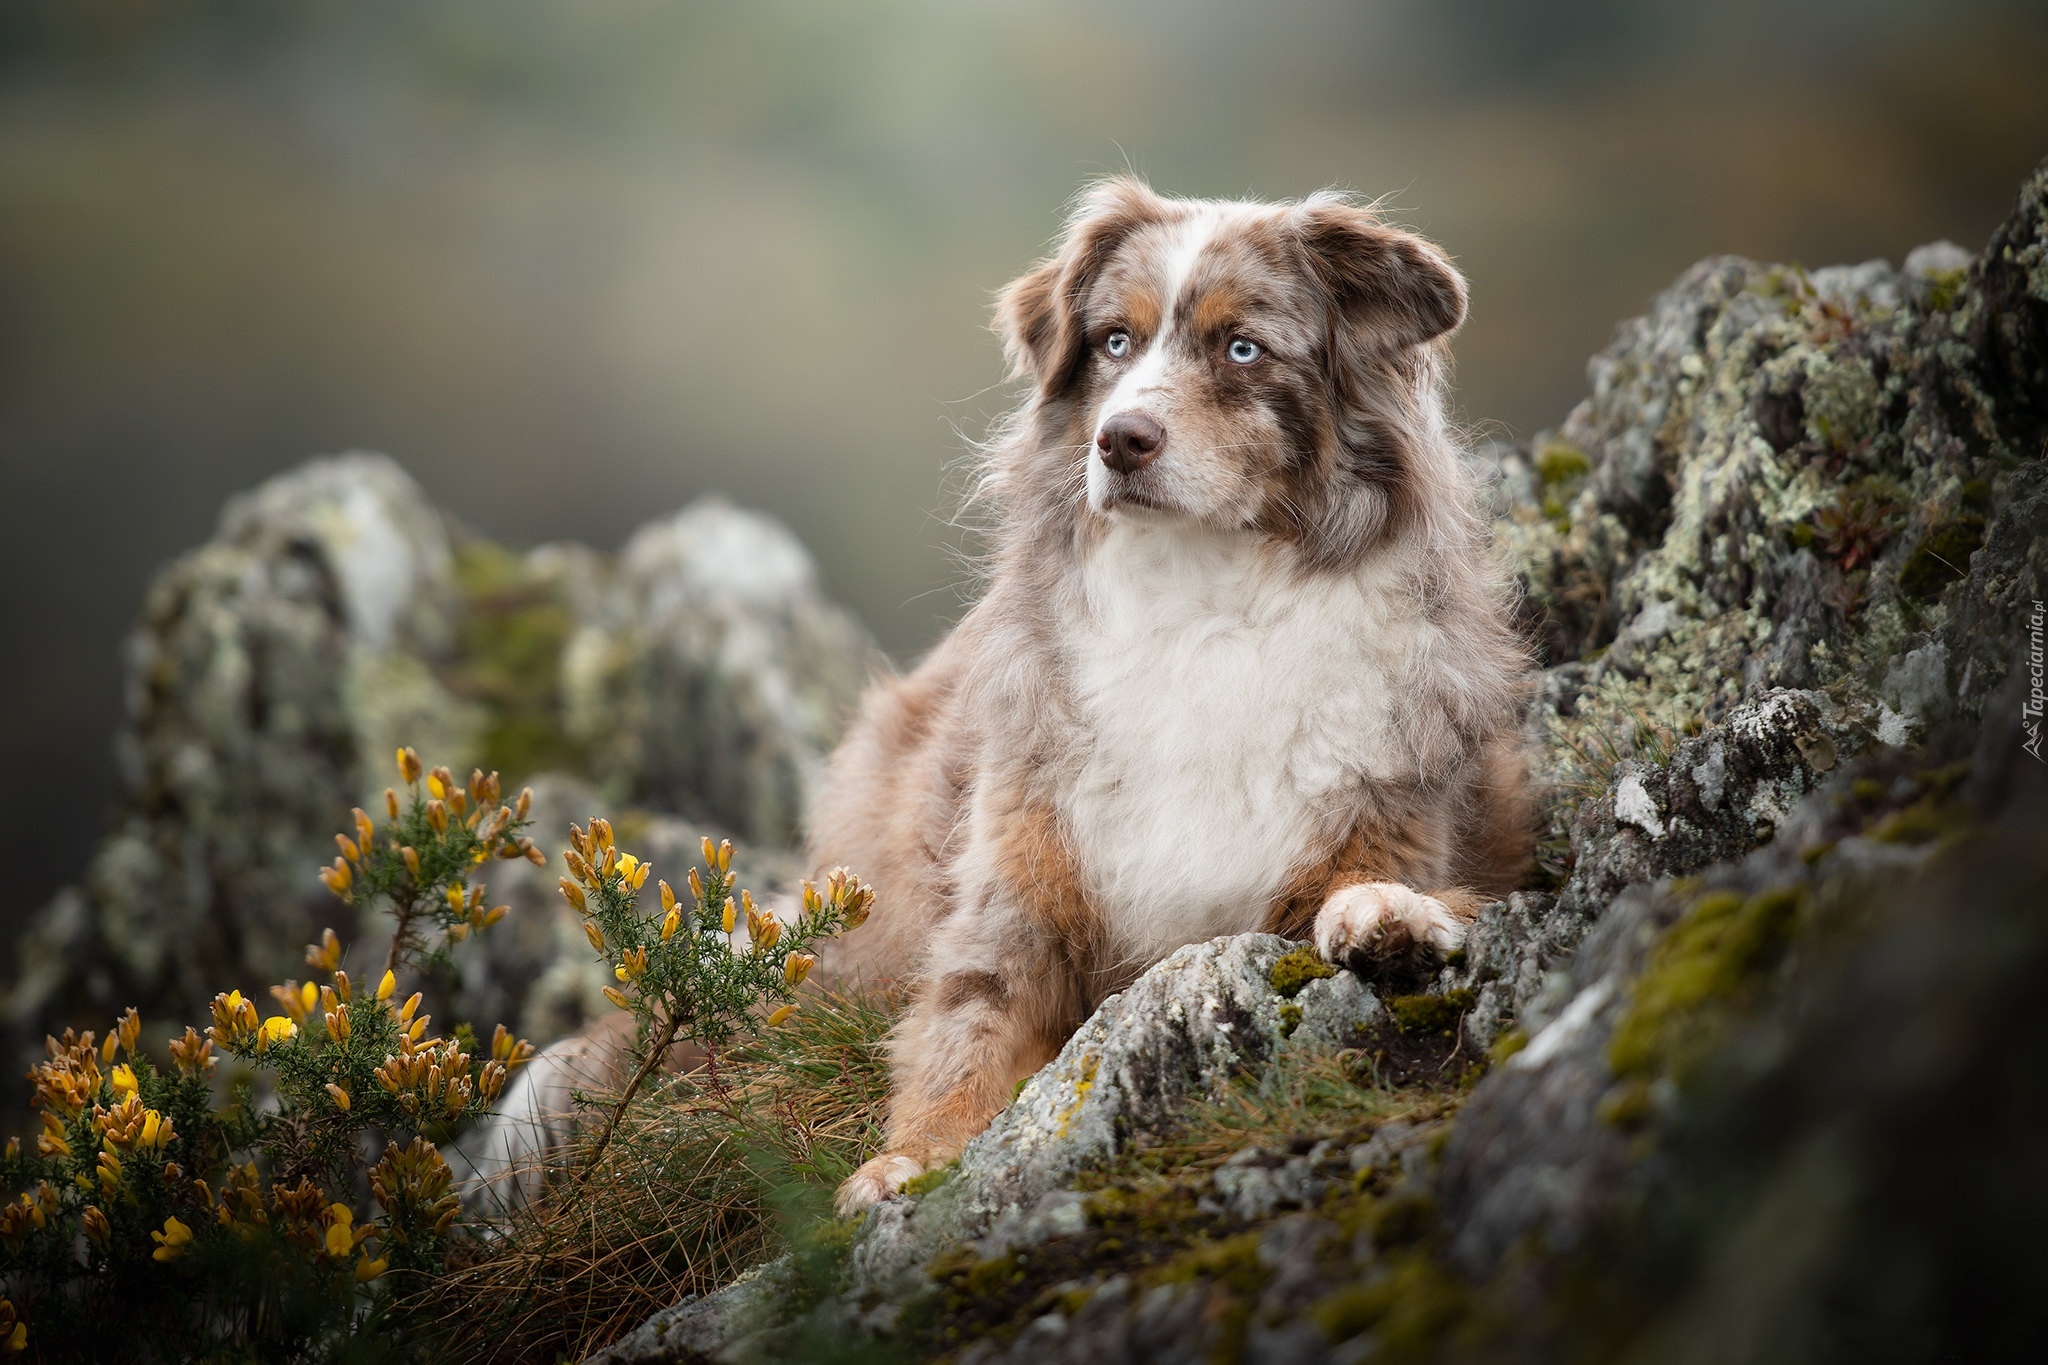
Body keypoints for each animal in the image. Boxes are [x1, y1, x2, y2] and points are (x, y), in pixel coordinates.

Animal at [806, 175, 1531, 1211]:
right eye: (1115, 341)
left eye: (1242, 348)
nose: (1121, 441)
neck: (1201, 595)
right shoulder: (1017, 887)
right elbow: (967, 1027)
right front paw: (906, 1162)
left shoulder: (1391, 813)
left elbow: (1395, 888)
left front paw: (1383, 916)